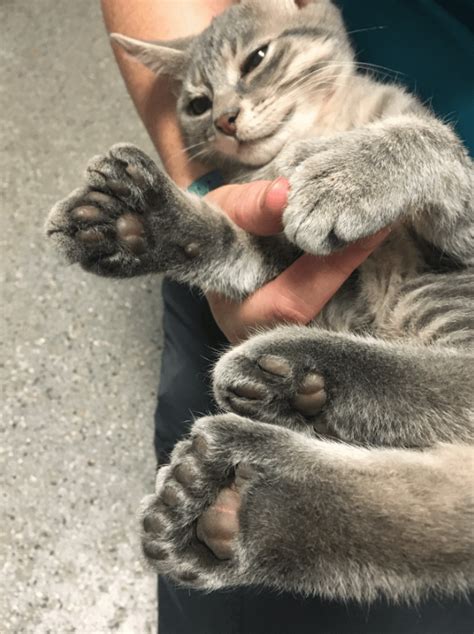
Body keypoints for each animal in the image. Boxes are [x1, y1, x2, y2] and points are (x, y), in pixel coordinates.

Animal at [45, 0, 474, 604]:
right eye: (198, 104)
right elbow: (232, 247)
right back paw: (248, 498)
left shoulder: (461, 234)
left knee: (454, 386)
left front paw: (348, 173)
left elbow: (428, 137)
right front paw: (144, 224)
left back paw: (297, 378)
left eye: (256, 59)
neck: (323, 124)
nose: (225, 119)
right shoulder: (286, 258)